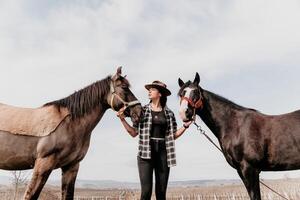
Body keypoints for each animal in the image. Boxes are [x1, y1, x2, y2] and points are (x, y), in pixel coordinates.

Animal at [0, 67, 142, 200]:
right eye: (124, 87)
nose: (139, 112)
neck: (70, 124)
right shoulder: (43, 163)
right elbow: (30, 195)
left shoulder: (71, 166)